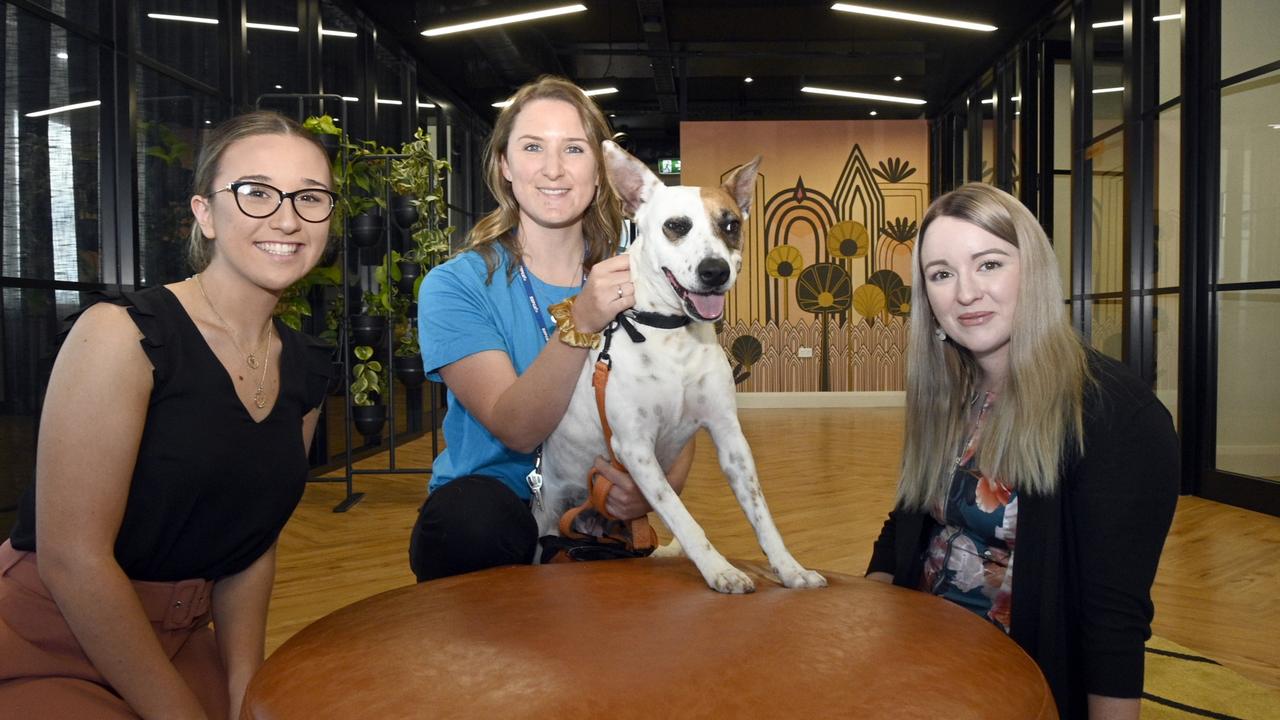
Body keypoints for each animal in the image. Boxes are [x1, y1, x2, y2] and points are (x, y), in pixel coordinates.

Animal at [532, 141, 824, 594]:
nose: (715, 271)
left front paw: (789, 568)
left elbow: (762, 515)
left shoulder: (730, 438)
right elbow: (686, 520)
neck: (672, 336)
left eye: (730, 225)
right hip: (546, 518)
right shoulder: (635, 449)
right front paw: (720, 569)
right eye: (676, 225)